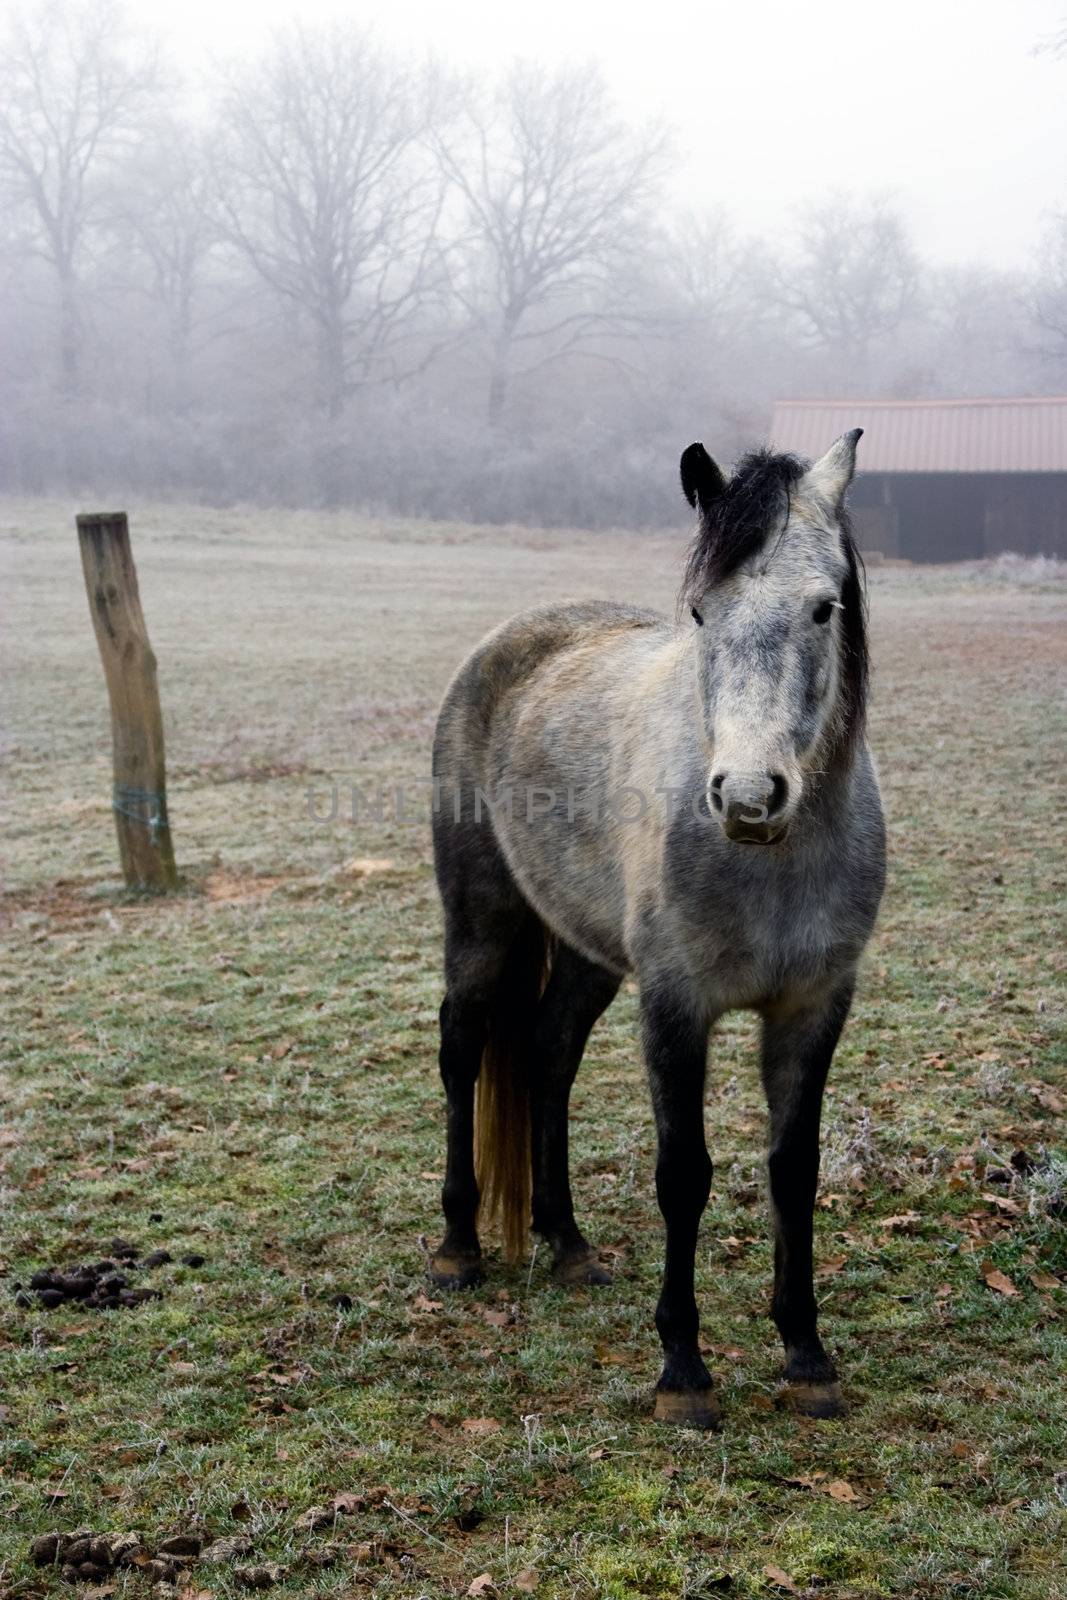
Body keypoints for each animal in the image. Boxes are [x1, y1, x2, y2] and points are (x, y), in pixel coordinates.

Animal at [425, 428, 883, 1427]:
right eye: (702, 613)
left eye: (823, 607)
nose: (748, 796)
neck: (769, 863)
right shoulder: (675, 1005)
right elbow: (685, 1174)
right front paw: (683, 1369)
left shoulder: (813, 1007)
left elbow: (793, 1168)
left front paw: (806, 1355)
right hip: (482, 923)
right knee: (462, 1050)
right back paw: (457, 1248)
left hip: (587, 953)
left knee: (547, 1054)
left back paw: (565, 1243)